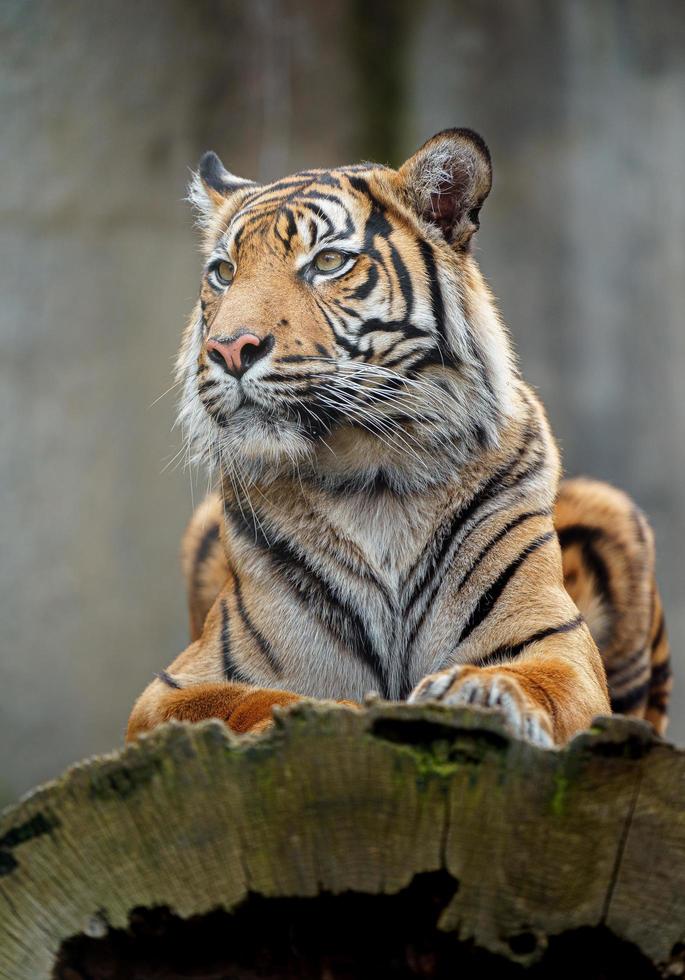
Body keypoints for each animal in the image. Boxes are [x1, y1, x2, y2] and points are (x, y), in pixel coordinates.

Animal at [125, 128, 672, 744]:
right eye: (224, 272)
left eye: (328, 262)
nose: (229, 348)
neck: (373, 471)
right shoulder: (171, 689)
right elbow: (244, 701)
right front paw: (334, 713)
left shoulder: (558, 648)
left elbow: (538, 680)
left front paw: (479, 691)